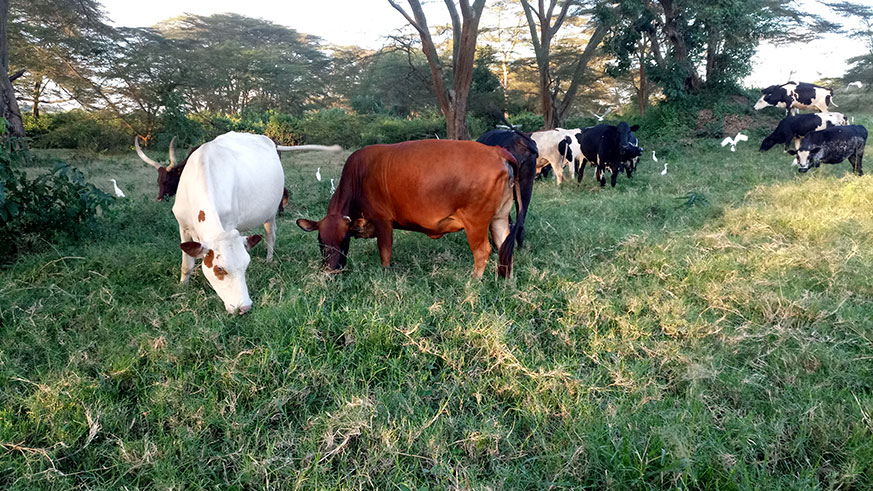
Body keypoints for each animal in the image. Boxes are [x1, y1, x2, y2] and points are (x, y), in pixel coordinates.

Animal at [172, 131, 291, 314]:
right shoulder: (183, 226)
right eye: (219, 269)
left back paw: (269, 259)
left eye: (246, 265)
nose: (245, 307)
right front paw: (183, 287)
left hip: (271, 212)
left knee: (270, 235)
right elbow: (187, 264)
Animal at [296, 140, 522, 278]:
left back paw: (473, 282)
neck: (358, 177)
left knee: (483, 251)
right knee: (505, 248)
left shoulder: (383, 221)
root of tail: (496, 150)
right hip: (499, 219)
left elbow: (385, 253)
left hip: (475, 223)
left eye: (344, 241)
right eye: (321, 242)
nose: (330, 273)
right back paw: (506, 283)